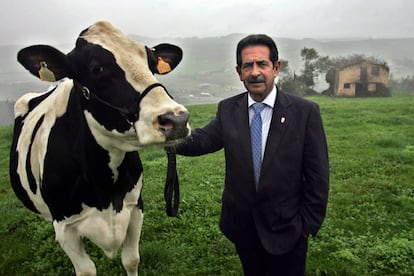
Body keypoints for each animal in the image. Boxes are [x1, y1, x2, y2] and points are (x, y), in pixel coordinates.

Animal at [9, 20, 191, 274]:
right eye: (97, 69)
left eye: (152, 64)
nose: (176, 119)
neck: (104, 185)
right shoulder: (64, 226)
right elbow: (86, 269)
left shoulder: (135, 206)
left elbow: (131, 259)